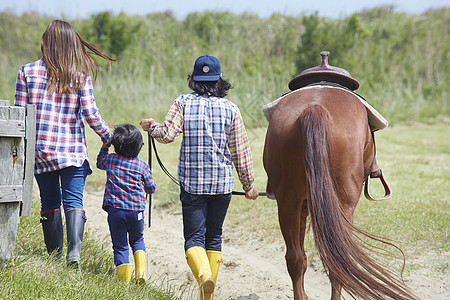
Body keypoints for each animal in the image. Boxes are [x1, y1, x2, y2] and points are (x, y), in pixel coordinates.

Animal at [262, 85, 416, 298]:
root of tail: (315, 108)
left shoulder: (301, 204)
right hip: (343, 205)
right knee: (339, 262)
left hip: (287, 202)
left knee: (295, 258)